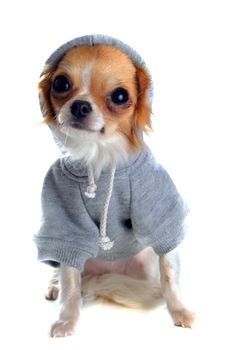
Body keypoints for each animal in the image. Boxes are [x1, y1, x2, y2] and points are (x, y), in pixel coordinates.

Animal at [34, 34, 195, 336]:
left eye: (120, 96)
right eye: (61, 84)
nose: (80, 105)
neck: (99, 157)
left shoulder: (159, 214)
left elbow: (169, 273)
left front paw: (179, 310)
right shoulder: (66, 222)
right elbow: (70, 282)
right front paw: (67, 320)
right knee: (63, 269)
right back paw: (53, 285)